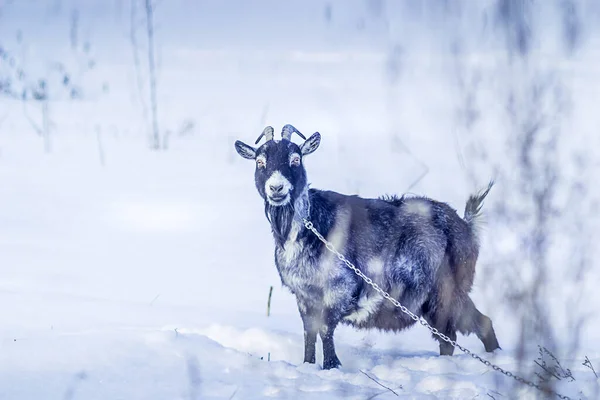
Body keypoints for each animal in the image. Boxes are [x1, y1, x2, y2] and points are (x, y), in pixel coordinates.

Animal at [234, 125, 502, 368]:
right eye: (260, 162)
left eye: (296, 159)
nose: (276, 188)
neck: (311, 225)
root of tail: (466, 225)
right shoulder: (304, 295)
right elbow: (309, 333)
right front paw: (308, 365)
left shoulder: (340, 287)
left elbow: (325, 329)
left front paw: (332, 366)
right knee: (460, 332)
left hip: (446, 292)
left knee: (466, 328)